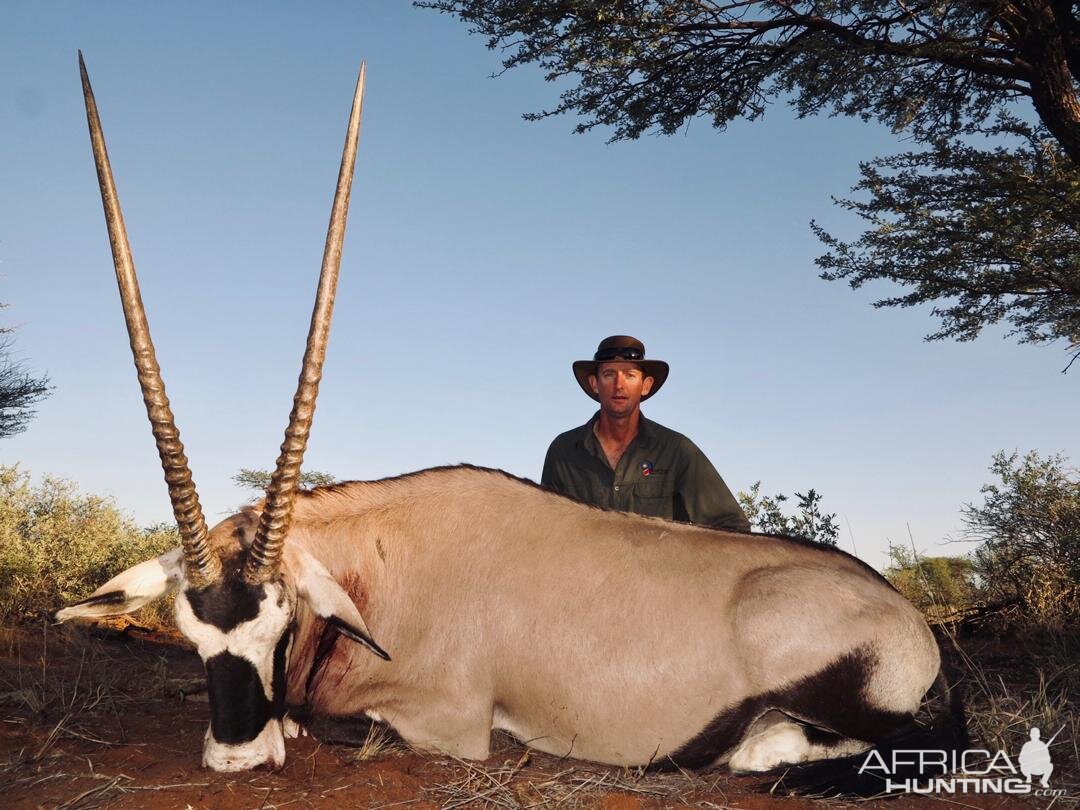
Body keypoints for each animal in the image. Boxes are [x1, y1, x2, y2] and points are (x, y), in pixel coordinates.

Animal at [56, 54, 963, 790]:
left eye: (281, 623)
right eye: (187, 630)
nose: (237, 757)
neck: (381, 567)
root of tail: (911, 624)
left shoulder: (449, 720)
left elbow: (348, 725)